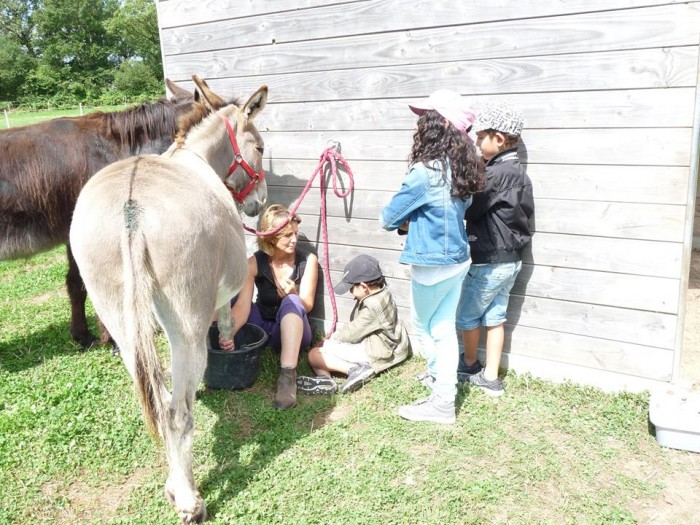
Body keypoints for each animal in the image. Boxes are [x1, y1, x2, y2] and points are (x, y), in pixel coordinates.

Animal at [69, 83, 268, 524]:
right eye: (261, 146)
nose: (259, 205)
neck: (195, 156)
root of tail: (131, 208)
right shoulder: (221, 291)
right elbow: (226, 318)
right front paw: (228, 345)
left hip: (118, 315)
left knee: (159, 402)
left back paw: (175, 486)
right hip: (185, 320)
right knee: (178, 414)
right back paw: (190, 500)